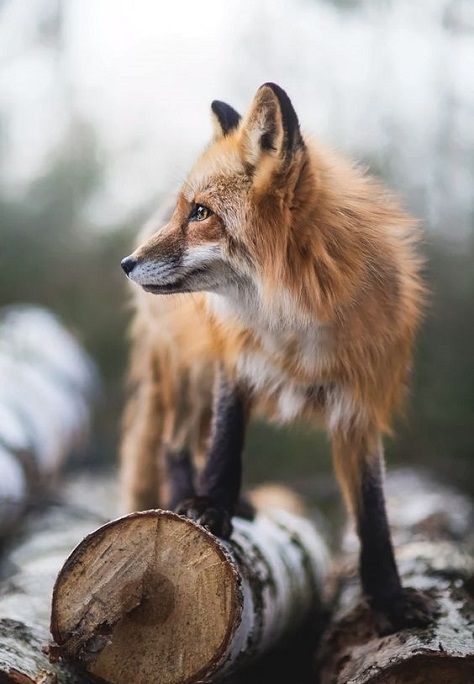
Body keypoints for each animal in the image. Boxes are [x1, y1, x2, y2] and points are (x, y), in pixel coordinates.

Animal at [120, 83, 428, 632]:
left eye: (200, 213)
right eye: (185, 210)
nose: (126, 263)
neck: (294, 319)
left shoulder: (359, 407)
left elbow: (373, 514)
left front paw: (389, 599)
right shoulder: (234, 364)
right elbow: (226, 445)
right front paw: (210, 507)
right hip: (190, 373)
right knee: (176, 445)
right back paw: (186, 500)